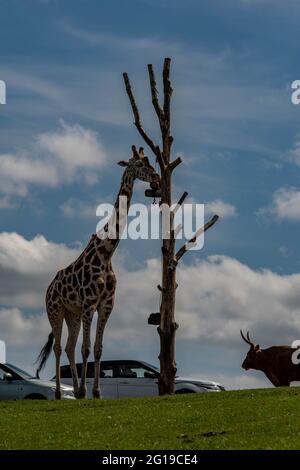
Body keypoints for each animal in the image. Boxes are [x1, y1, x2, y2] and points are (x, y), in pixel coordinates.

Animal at [36, 147, 161, 396]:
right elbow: (86, 349)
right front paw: (87, 391)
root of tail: (49, 287)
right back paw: (59, 392)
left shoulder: (106, 305)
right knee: (58, 347)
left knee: (69, 347)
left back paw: (74, 390)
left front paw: (95, 392)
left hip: (72, 313)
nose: (156, 177)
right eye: (138, 164)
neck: (106, 254)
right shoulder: (89, 304)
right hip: (55, 310)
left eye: (149, 161)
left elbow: (98, 348)